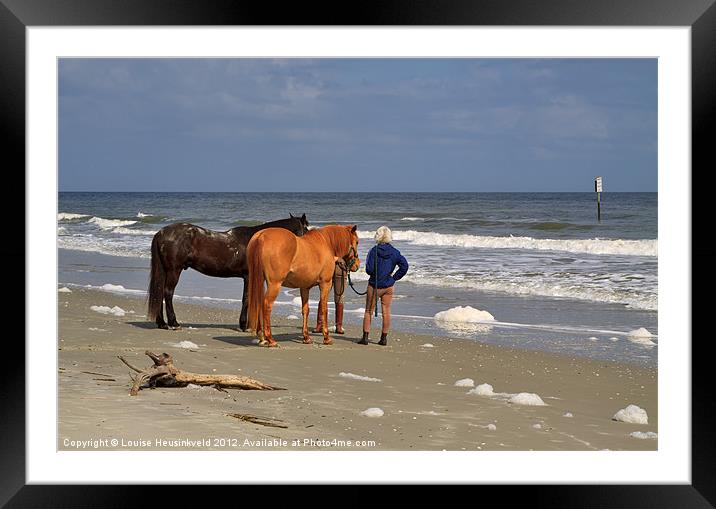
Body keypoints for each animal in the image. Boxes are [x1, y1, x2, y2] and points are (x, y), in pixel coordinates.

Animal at [148, 213, 308, 330]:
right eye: (306, 229)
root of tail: (161, 233)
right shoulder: (248, 276)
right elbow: (246, 298)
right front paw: (245, 326)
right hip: (174, 270)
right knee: (168, 293)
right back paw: (174, 323)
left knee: (160, 292)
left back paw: (162, 323)